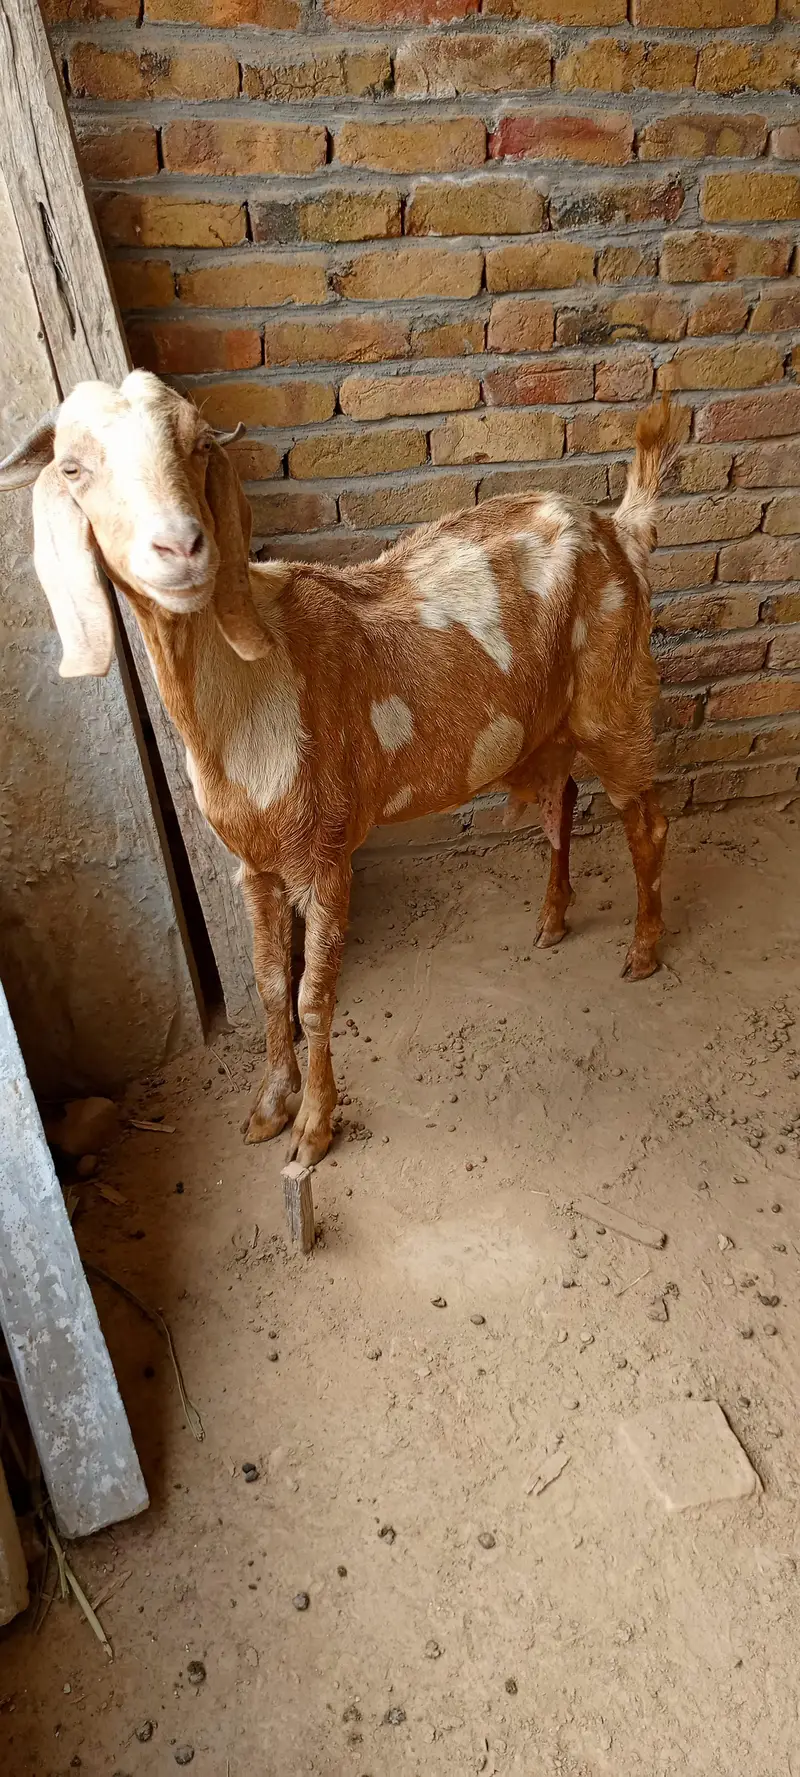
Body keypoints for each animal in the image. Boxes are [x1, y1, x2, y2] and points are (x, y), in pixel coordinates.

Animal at [0, 372, 673, 1166]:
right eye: (72, 468)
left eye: (199, 446)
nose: (181, 545)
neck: (252, 685)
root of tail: (619, 529)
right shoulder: (255, 865)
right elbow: (269, 986)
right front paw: (268, 1108)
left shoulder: (324, 855)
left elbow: (314, 996)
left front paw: (313, 1130)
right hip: (548, 724)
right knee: (560, 798)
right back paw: (551, 921)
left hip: (613, 697)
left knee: (647, 823)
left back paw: (642, 951)